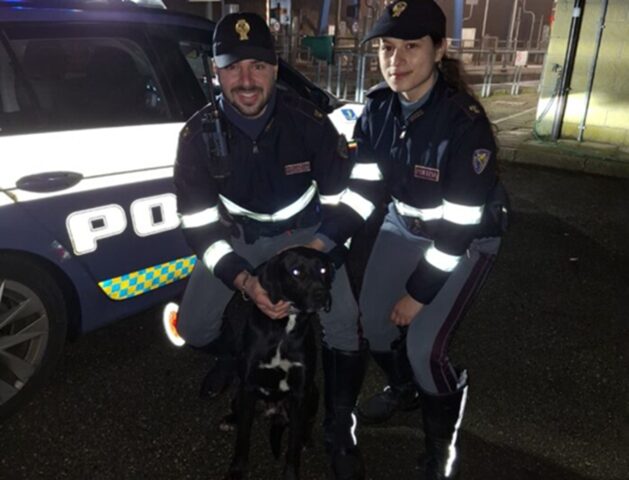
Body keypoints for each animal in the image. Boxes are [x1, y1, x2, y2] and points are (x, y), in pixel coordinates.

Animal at [221, 248, 334, 480]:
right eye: (296, 271)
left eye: (323, 270)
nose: (322, 295)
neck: (284, 328)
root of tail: (274, 412)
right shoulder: (248, 386)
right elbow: (243, 437)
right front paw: (237, 469)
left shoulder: (300, 393)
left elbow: (292, 445)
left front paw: (290, 473)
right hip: (239, 393)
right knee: (240, 414)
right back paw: (230, 420)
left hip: (313, 393)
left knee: (306, 424)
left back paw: (306, 439)